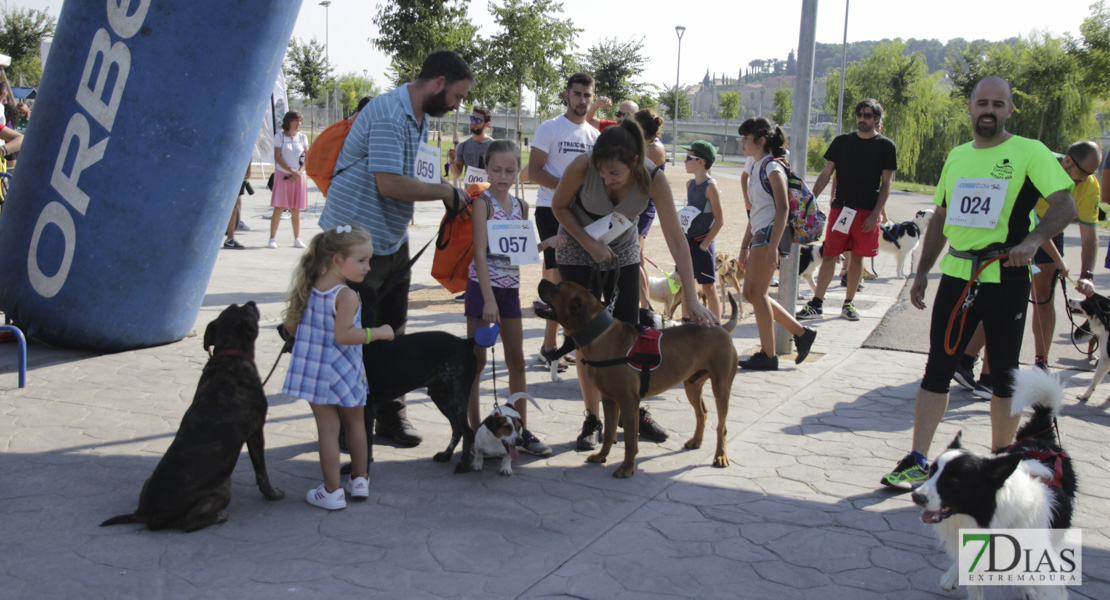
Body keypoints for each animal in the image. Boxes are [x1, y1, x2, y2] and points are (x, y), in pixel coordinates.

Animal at [101, 301, 281, 530]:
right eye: (244, 309)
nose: (251, 302)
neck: (230, 353)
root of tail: (144, 514)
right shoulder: (256, 433)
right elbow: (262, 471)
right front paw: (272, 493)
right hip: (224, 485)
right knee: (190, 524)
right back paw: (219, 516)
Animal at [537, 279, 737, 476]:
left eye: (557, 288)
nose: (543, 280)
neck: (601, 335)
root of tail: (721, 327)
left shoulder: (628, 401)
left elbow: (630, 440)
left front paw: (627, 467)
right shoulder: (609, 400)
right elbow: (609, 433)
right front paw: (602, 456)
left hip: (721, 387)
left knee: (722, 426)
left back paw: (720, 456)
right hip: (692, 384)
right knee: (701, 412)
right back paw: (696, 440)